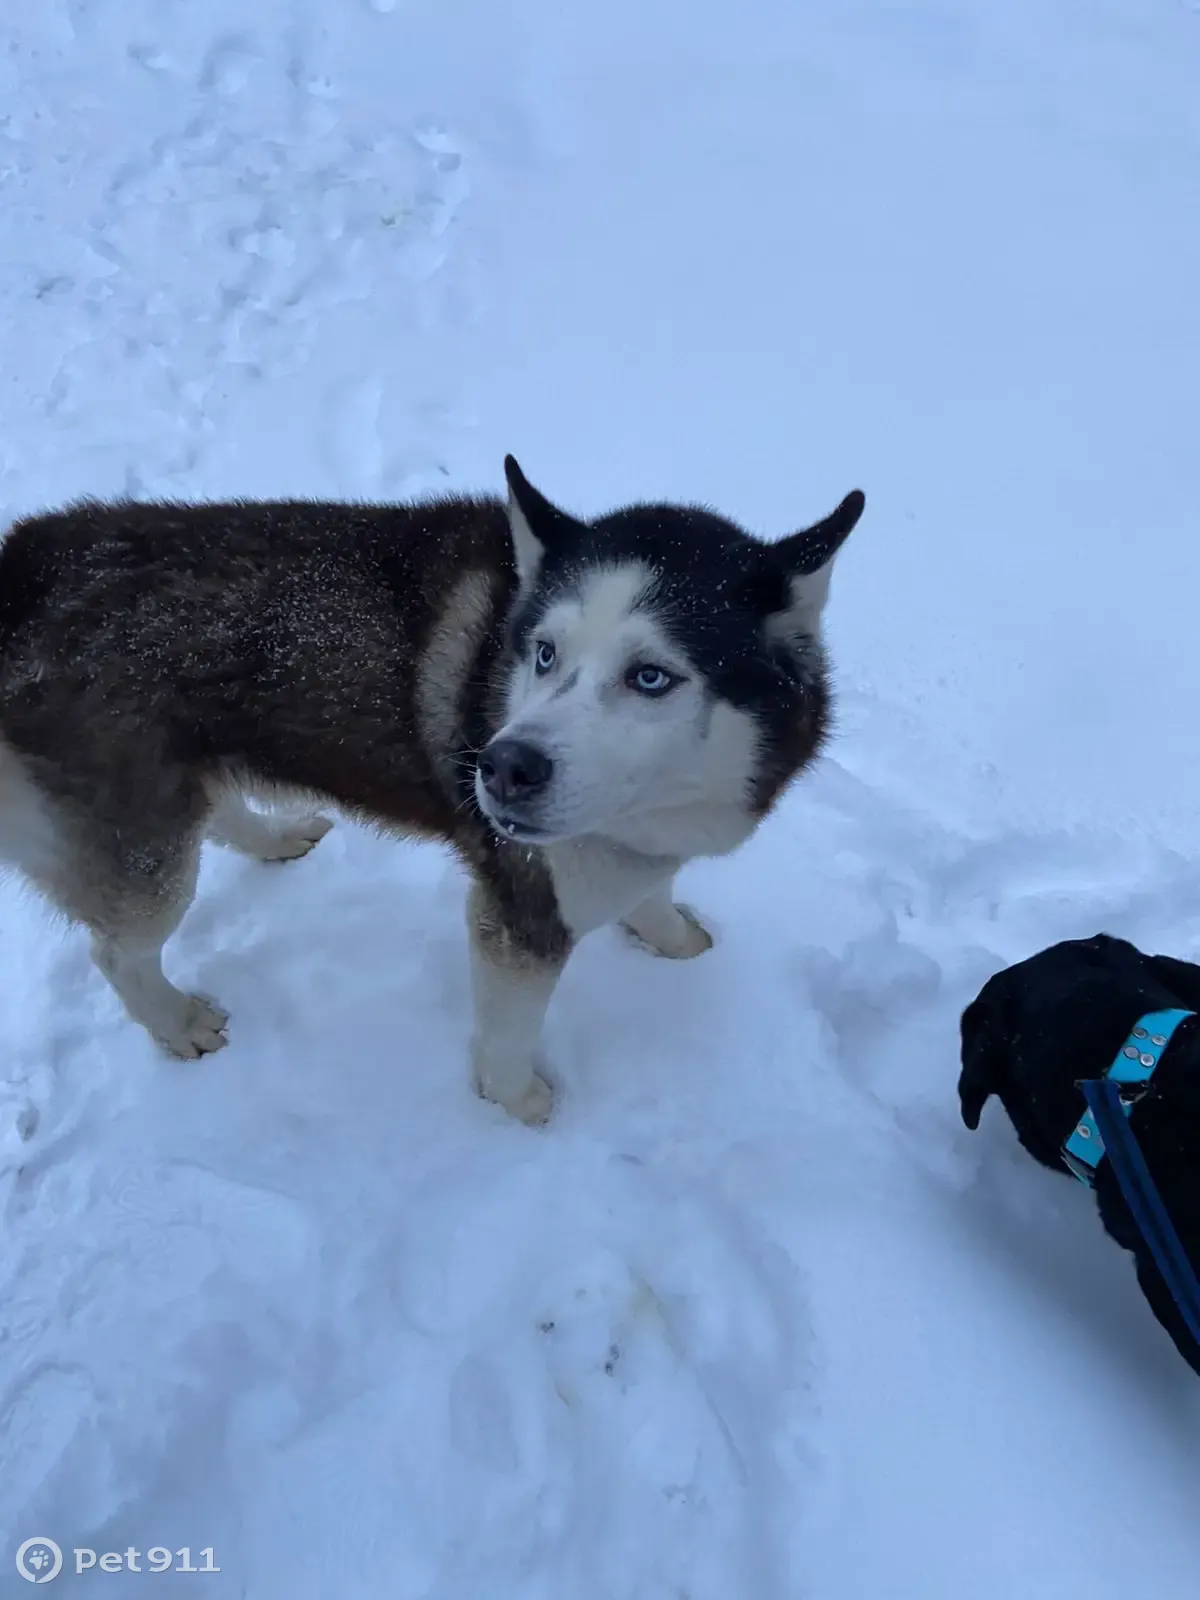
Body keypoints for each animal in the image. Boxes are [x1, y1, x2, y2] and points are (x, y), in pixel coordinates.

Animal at [0, 457, 864, 1120]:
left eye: (651, 676)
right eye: (544, 652)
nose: (500, 767)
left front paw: (671, 933)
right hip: (142, 845)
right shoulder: (520, 911)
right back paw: (174, 1021)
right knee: (116, 948)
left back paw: (271, 836)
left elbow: (653, 891)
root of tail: (24, 563)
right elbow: (510, 1033)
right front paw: (519, 1104)